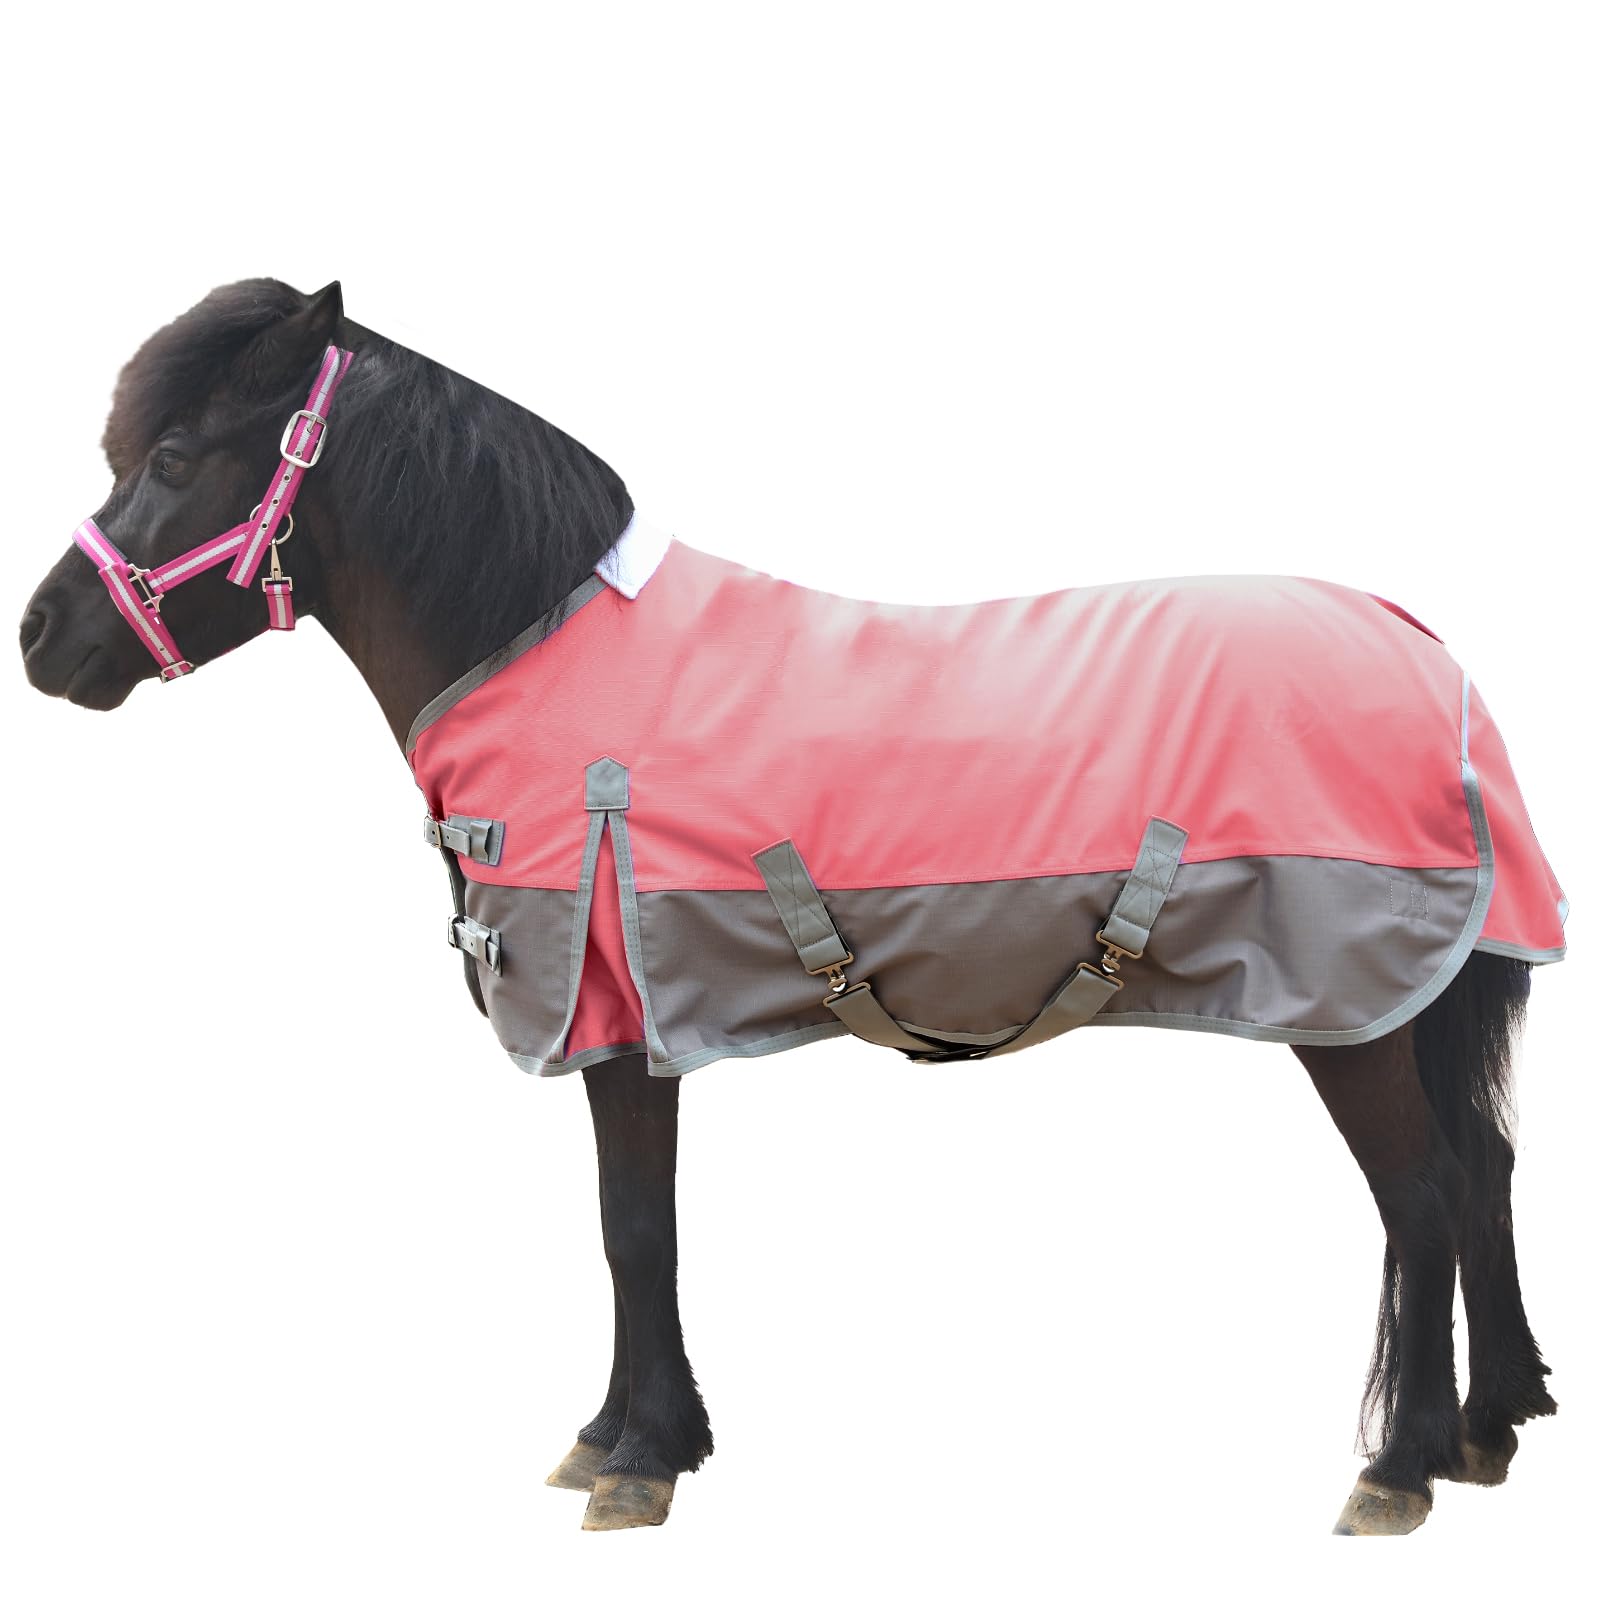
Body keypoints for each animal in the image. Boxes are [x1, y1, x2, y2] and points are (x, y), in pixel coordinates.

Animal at [19, 278, 1561, 1535]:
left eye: (171, 458)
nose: (40, 638)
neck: (541, 652)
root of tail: (1426, 654)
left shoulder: (615, 1015)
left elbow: (633, 1224)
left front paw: (639, 1459)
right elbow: (633, 1226)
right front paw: (622, 1435)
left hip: (1352, 1013)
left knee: (1422, 1197)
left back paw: (1402, 1467)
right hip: (1411, 1001)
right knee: (1483, 1173)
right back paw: (1491, 1429)